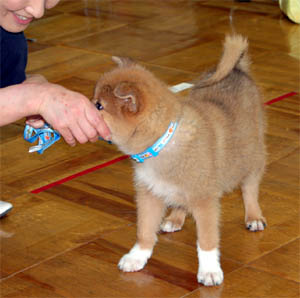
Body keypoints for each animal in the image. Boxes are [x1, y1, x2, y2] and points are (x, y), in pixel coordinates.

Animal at [93, 35, 264, 286]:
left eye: (99, 105)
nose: (84, 105)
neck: (162, 142)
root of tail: (237, 69)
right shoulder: (149, 194)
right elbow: (144, 230)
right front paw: (137, 256)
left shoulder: (204, 200)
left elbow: (207, 240)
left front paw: (209, 270)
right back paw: (175, 218)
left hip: (252, 157)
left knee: (250, 188)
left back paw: (254, 216)